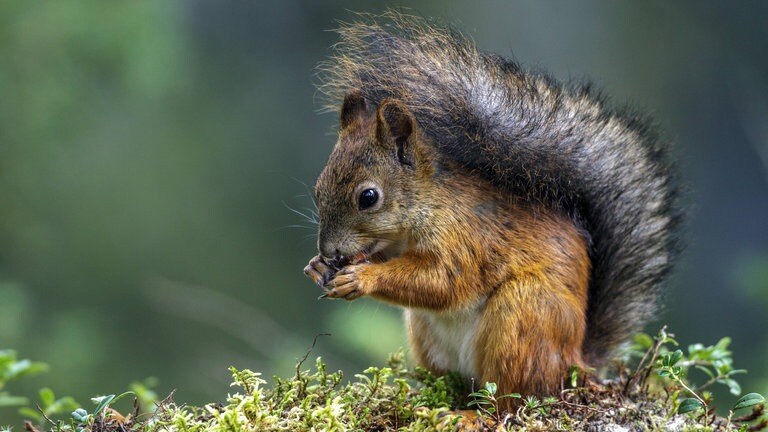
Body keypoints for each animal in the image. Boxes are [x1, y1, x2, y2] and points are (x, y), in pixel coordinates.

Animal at [304, 11, 680, 410]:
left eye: (368, 197)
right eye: (318, 188)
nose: (328, 250)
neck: (426, 208)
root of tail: (575, 365)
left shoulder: (465, 238)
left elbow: (442, 281)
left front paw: (362, 278)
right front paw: (318, 268)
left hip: (521, 318)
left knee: (510, 402)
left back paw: (472, 415)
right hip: (426, 333)